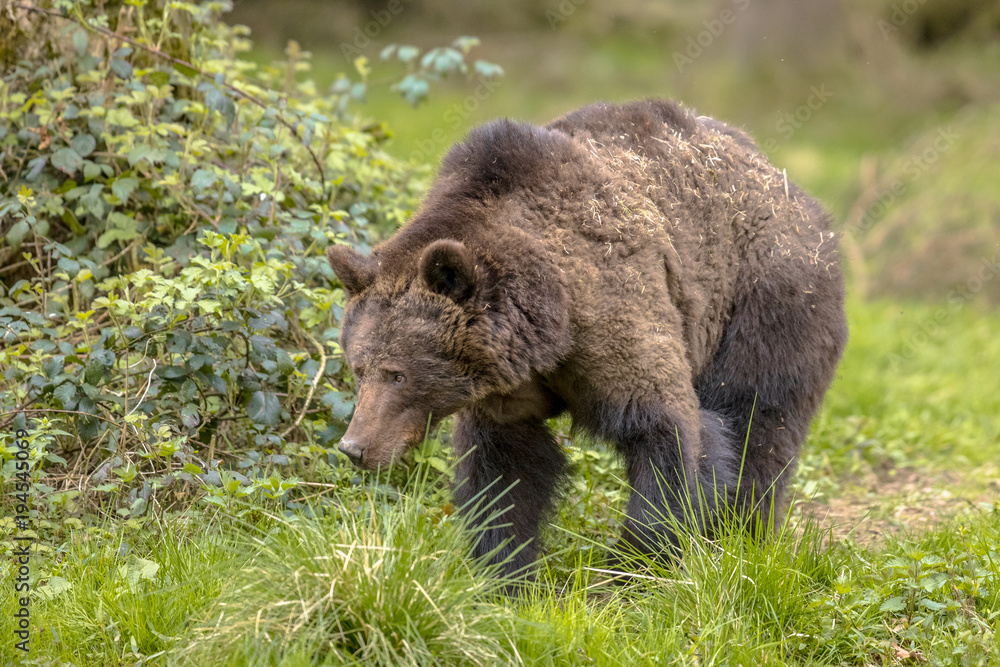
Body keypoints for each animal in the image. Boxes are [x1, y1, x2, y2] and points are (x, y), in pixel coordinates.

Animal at [327, 99, 847, 579]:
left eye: (397, 373)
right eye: (358, 368)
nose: (354, 447)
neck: (551, 323)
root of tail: (795, 192)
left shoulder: (619, 314)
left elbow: (670, 434)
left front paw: (636, 568)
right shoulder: (509, 388)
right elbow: (506, 473)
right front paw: (506, 572)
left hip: (766, 297)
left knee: (758, 417)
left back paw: (743, 535)